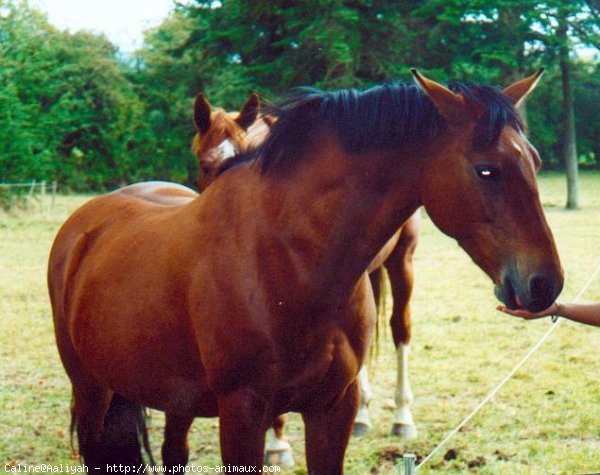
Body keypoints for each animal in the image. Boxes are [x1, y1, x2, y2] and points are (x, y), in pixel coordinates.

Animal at [47, 69, 564, 474]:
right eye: (486, 170)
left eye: (536, 162)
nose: (546, 283)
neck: (288, 260)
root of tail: (85, 225)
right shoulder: (243, 413)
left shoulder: (331, 409)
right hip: (93, 393)